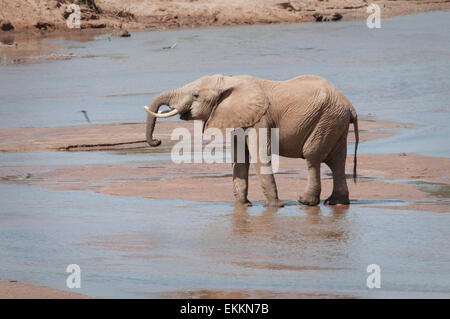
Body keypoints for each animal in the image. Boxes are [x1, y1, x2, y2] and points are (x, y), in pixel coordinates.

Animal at [144, 75, 358, 209]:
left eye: (196, 95)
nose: (156, 141)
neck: (229, 82)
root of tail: (350, 107)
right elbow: (240, 160)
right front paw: (242, 206)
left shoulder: (260, 119)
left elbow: (259, 156)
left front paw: (274, 207)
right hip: (334, 121)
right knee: (337, 161)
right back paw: (336, 203)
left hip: (326, 119)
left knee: (312, 156)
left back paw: (305, 202)